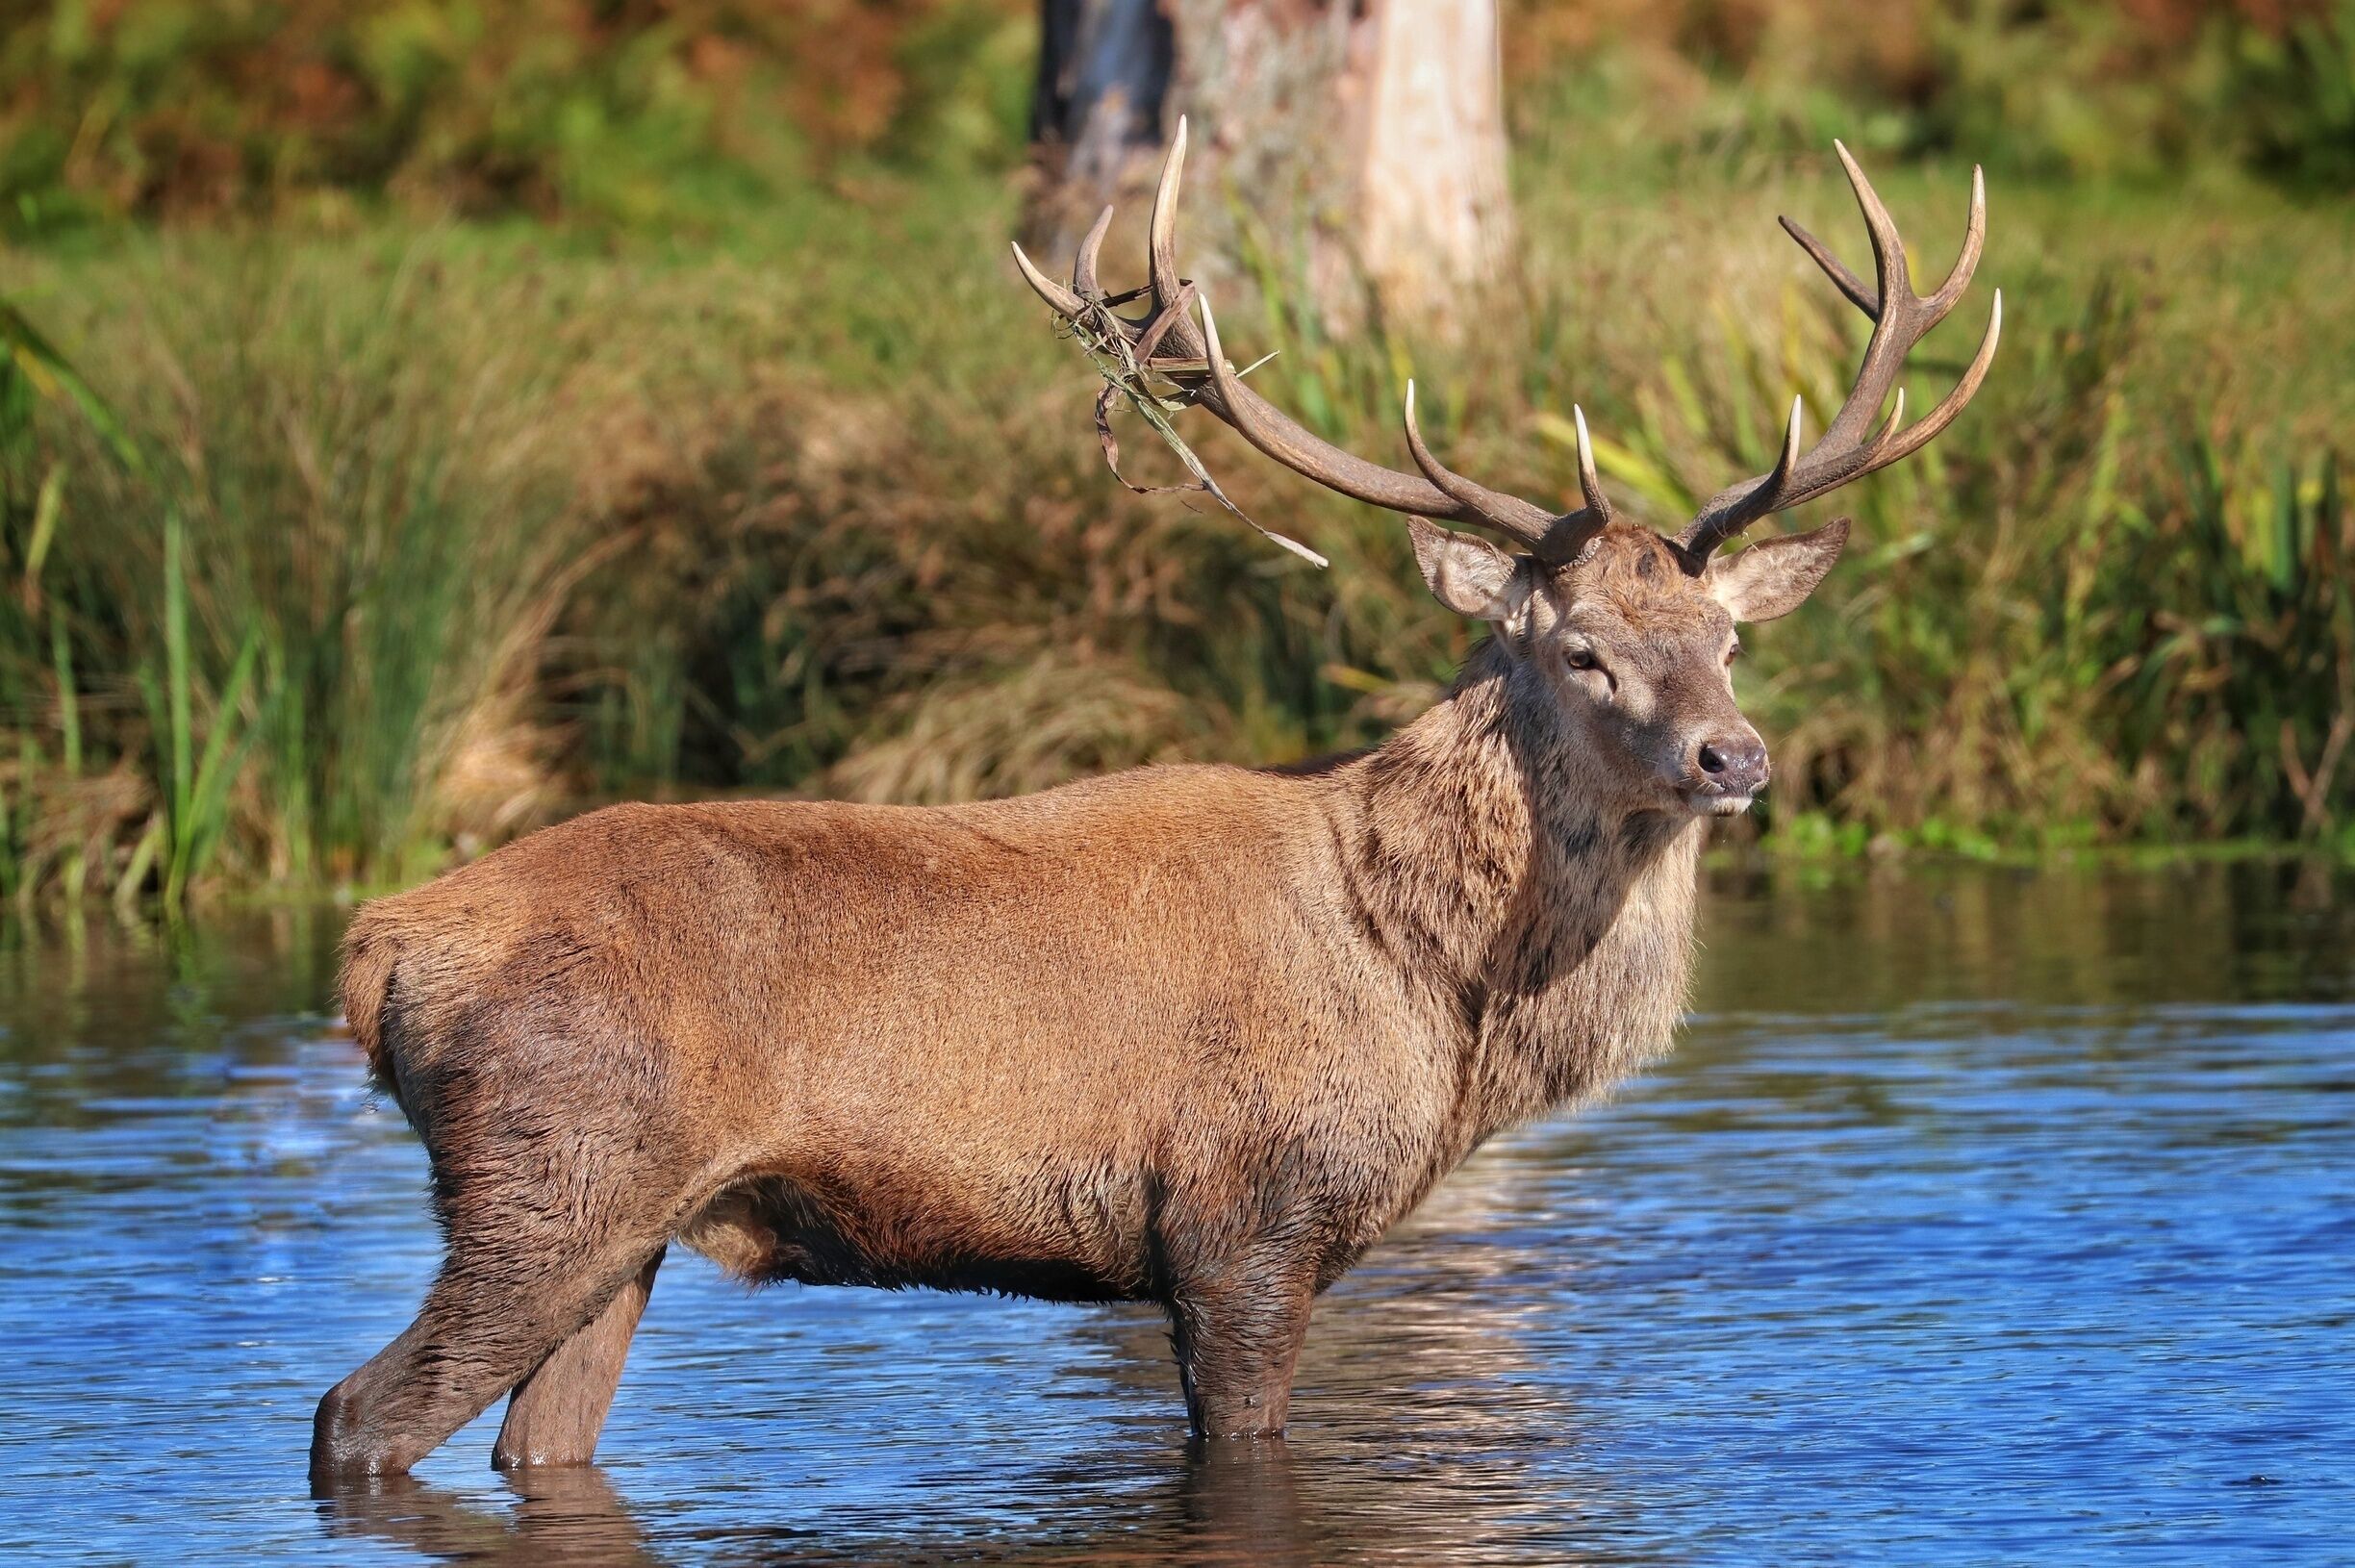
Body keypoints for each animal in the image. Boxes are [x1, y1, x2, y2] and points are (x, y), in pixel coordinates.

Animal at [309, 122, 1997, 1484]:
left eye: (1727, 637)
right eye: (1580, 646)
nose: (1735, 757)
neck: (1442, 994)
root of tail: (380, 946)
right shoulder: (1243, 1216)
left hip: (628, 1228)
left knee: (536, 1439)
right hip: (555, 1176)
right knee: (355, 1414)